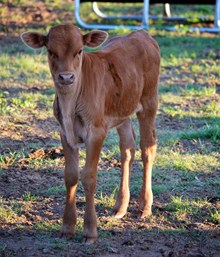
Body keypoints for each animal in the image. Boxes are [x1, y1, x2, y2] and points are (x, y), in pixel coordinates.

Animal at [21, 25, 160, 243]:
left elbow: (89, 177)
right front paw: (67, 227)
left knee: (148, 148)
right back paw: (120, 206)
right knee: (127, 148)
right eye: (50, 51)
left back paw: (144, 206)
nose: (66, 77)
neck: (70, 106)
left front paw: (90, 231)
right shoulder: (65, 133)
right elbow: (70, 175)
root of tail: (141, 33)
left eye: (79, 51)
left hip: (149, 102)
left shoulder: (96, 132)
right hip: (122, 111)